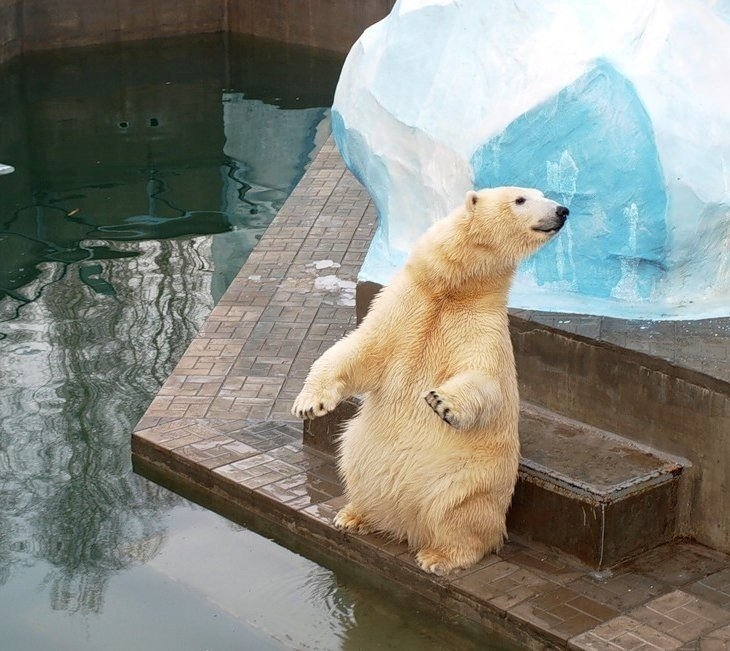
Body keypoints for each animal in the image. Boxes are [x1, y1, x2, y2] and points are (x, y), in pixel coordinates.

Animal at [292, 187, 564, 576]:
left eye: (539, 195)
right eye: (522, 199)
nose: (562, 210)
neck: (452, 289)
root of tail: (407, 524)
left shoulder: (481, 325)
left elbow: (484, 378)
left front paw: (441, 402)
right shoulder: (403, 304)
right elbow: (360, 349)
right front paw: (309, 404)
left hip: (470, 478)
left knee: (460, 514)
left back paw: (438, 556)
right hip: (362, 448)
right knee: (350, 457)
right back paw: (353, 515)